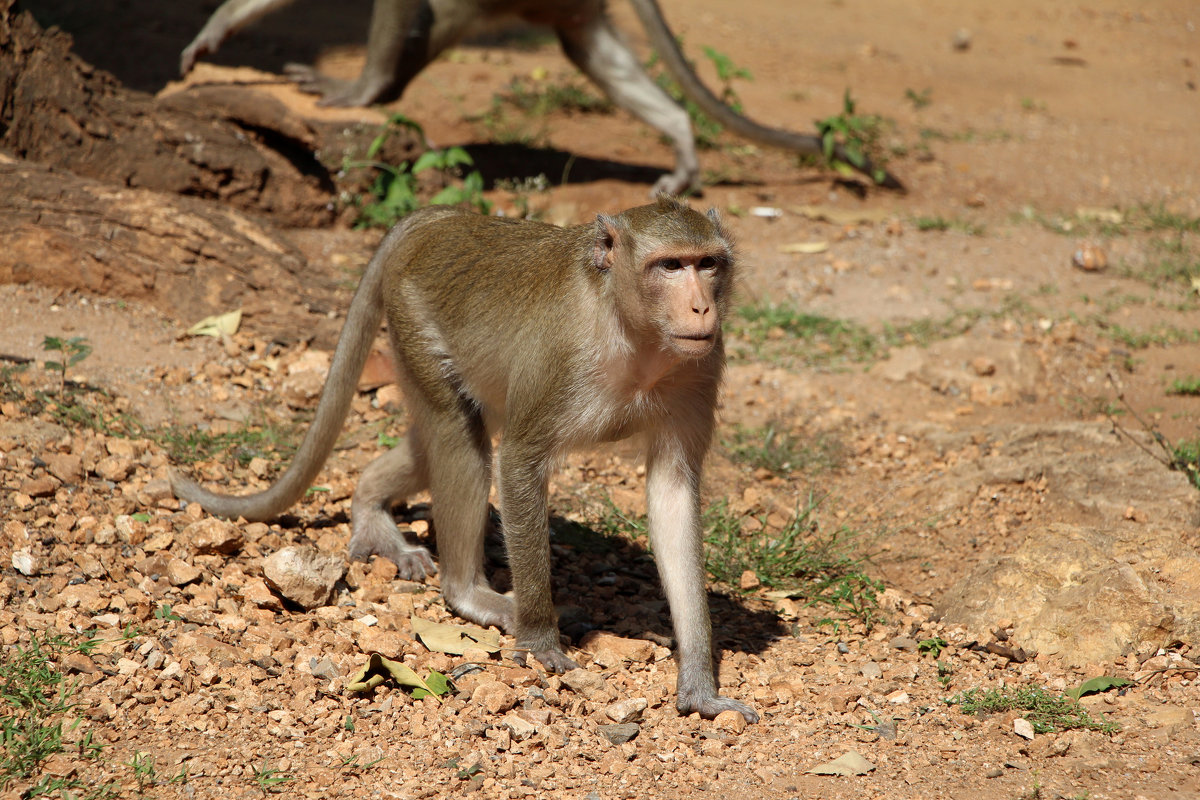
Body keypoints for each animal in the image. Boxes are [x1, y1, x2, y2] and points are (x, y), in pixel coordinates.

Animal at [180, 0, 902, 194]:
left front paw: (359, 89)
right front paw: (216, 28)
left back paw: (385, 83)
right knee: (591, 53)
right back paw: (682, 136)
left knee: (432, 16)